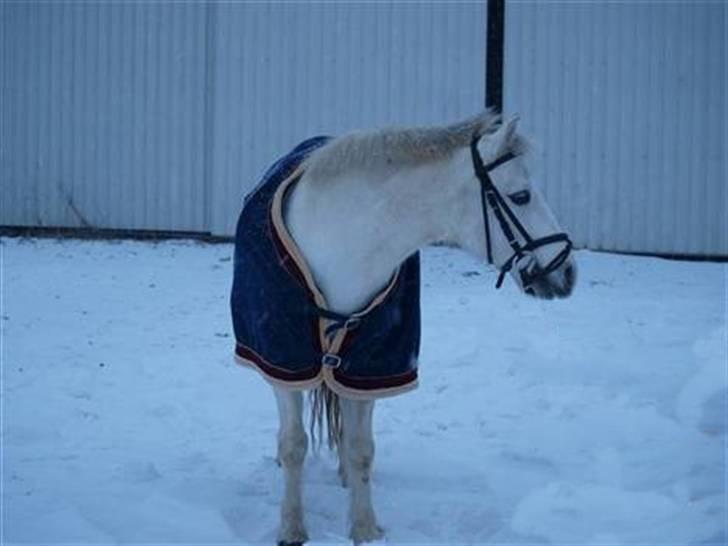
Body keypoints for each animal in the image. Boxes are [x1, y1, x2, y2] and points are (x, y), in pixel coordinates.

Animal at [230, 111, 577, 545]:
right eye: (521, 196)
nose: (568, 272)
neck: (341, 243)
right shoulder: (283, 359)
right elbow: (294, 443)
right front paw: (292, 528)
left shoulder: (369, 364)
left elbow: (361, 447)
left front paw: (364, 528)